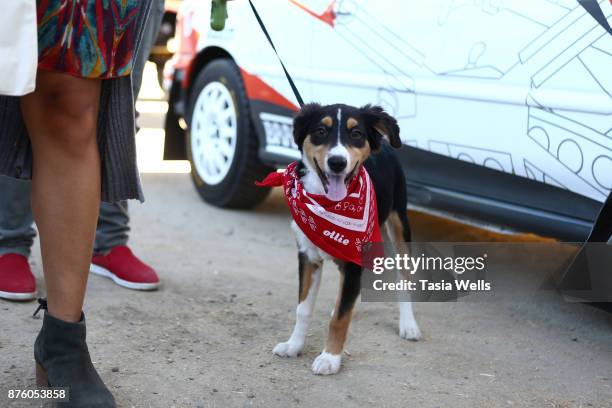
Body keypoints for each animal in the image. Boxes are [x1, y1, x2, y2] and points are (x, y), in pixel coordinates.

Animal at [262, 103, 420, 374]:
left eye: (356, 134)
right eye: (320, 131)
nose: (337, 162)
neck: (328, 204)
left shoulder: (353, 262)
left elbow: (340, 317)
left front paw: (330, 358)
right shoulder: (308, 257)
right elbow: (303, 309)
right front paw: (294, 345)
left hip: (400, 225)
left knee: (404, 277)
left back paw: (408, 325)